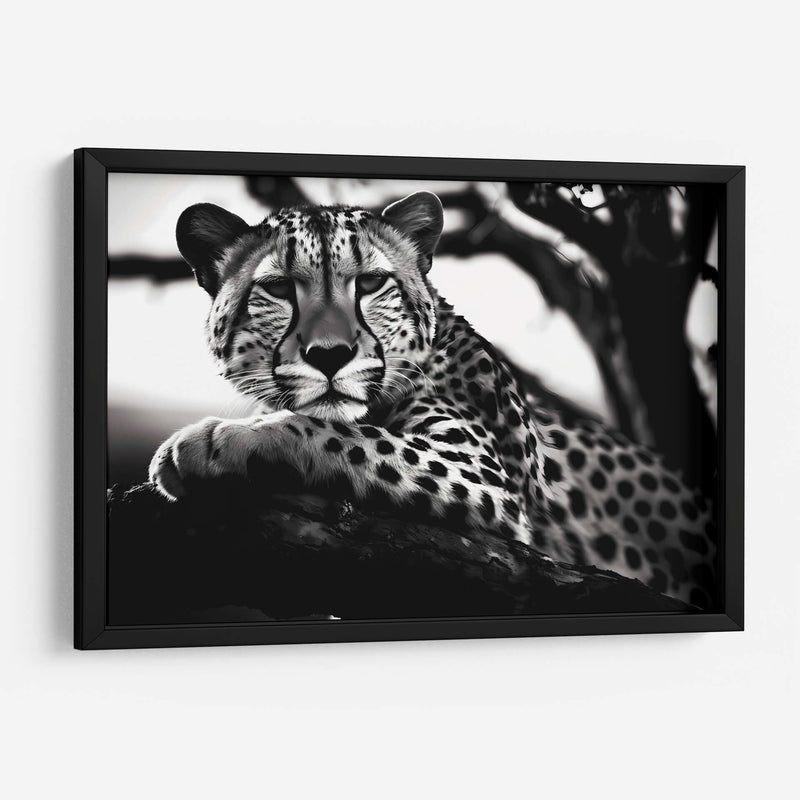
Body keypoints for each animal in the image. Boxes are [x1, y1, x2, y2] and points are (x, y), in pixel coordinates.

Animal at [149, 191, 717, 608]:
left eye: (371, 283)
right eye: (280, 289)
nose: (329, 355)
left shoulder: (483, 475)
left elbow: (341, 432)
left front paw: (215, 439)